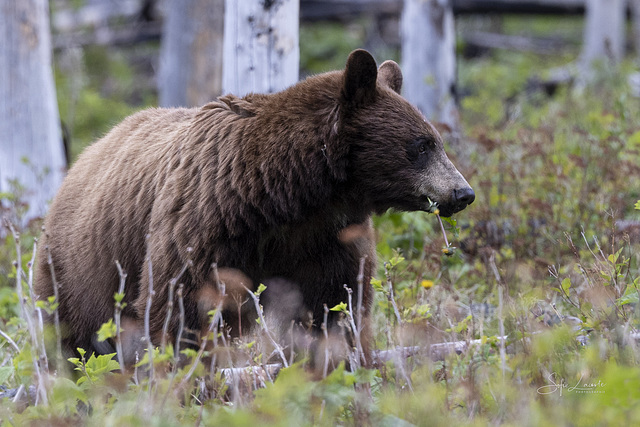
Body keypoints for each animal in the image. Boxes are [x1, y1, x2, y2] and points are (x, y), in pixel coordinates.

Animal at [36, 49, 476, 368]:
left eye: (435, 140)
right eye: (422, 145)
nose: (463, 192)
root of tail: (84, 156)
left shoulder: (326, 235)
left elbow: (336, 303)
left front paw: (338, 361)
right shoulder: (203, 224)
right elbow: (181, 306)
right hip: (80, 268)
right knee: (74, 337)